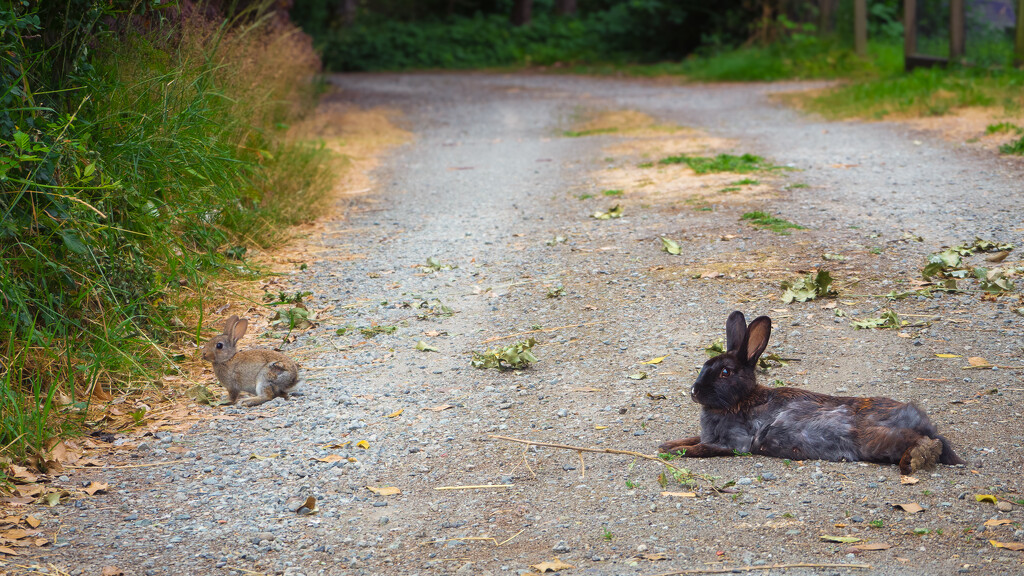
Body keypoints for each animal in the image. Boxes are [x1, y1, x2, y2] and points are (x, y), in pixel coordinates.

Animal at [659, 311, 962, 473]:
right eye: (705, 365)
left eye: (725, 372)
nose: (694, 392)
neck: (741, 400)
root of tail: (917, 418)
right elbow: (691, 438)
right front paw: (667, 445)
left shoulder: (735, 442)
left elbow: (702, 447)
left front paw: (678, 452)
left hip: (877, 440)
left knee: (922, 442)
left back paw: (914, 459)